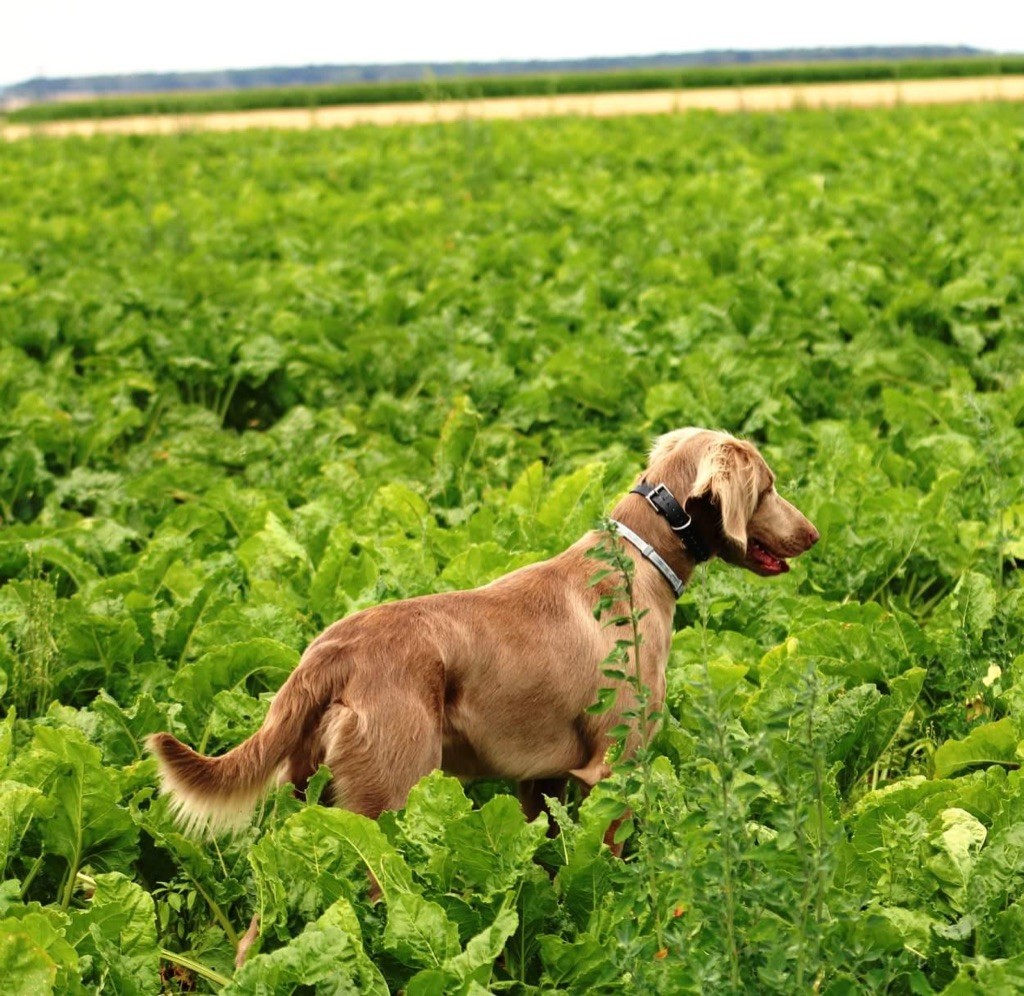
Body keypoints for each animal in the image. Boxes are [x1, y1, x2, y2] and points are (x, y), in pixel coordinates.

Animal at [146, 425, 815, 831]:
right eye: (769, 487)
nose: (813, 534)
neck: (640, 555)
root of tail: (328, 652)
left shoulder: (542, 777)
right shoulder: (616, 765)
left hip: (306, 800)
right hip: (386, 800)